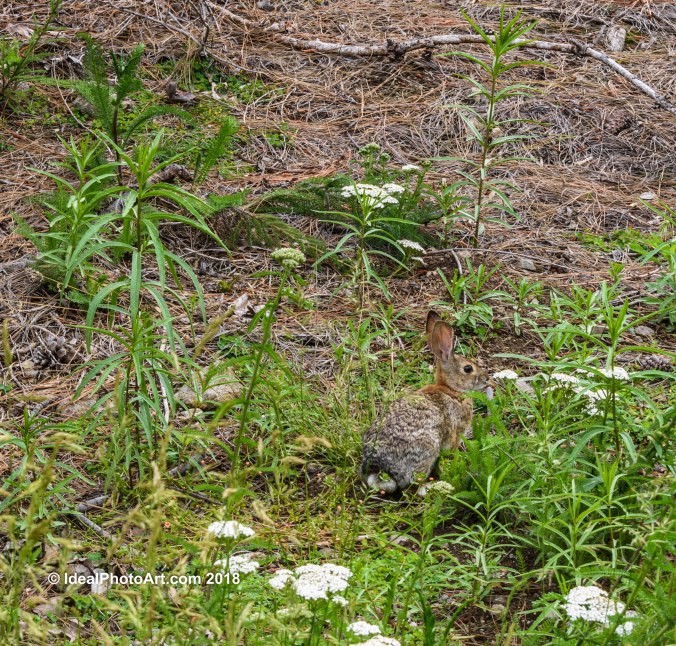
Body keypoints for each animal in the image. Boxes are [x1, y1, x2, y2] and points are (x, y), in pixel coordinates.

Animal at [361, 311, 487, 494]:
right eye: (468, 369)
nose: (486, 378)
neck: (451, 390)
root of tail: (381, 469)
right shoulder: (456, 432)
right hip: (427, 450)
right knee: (415, 485)